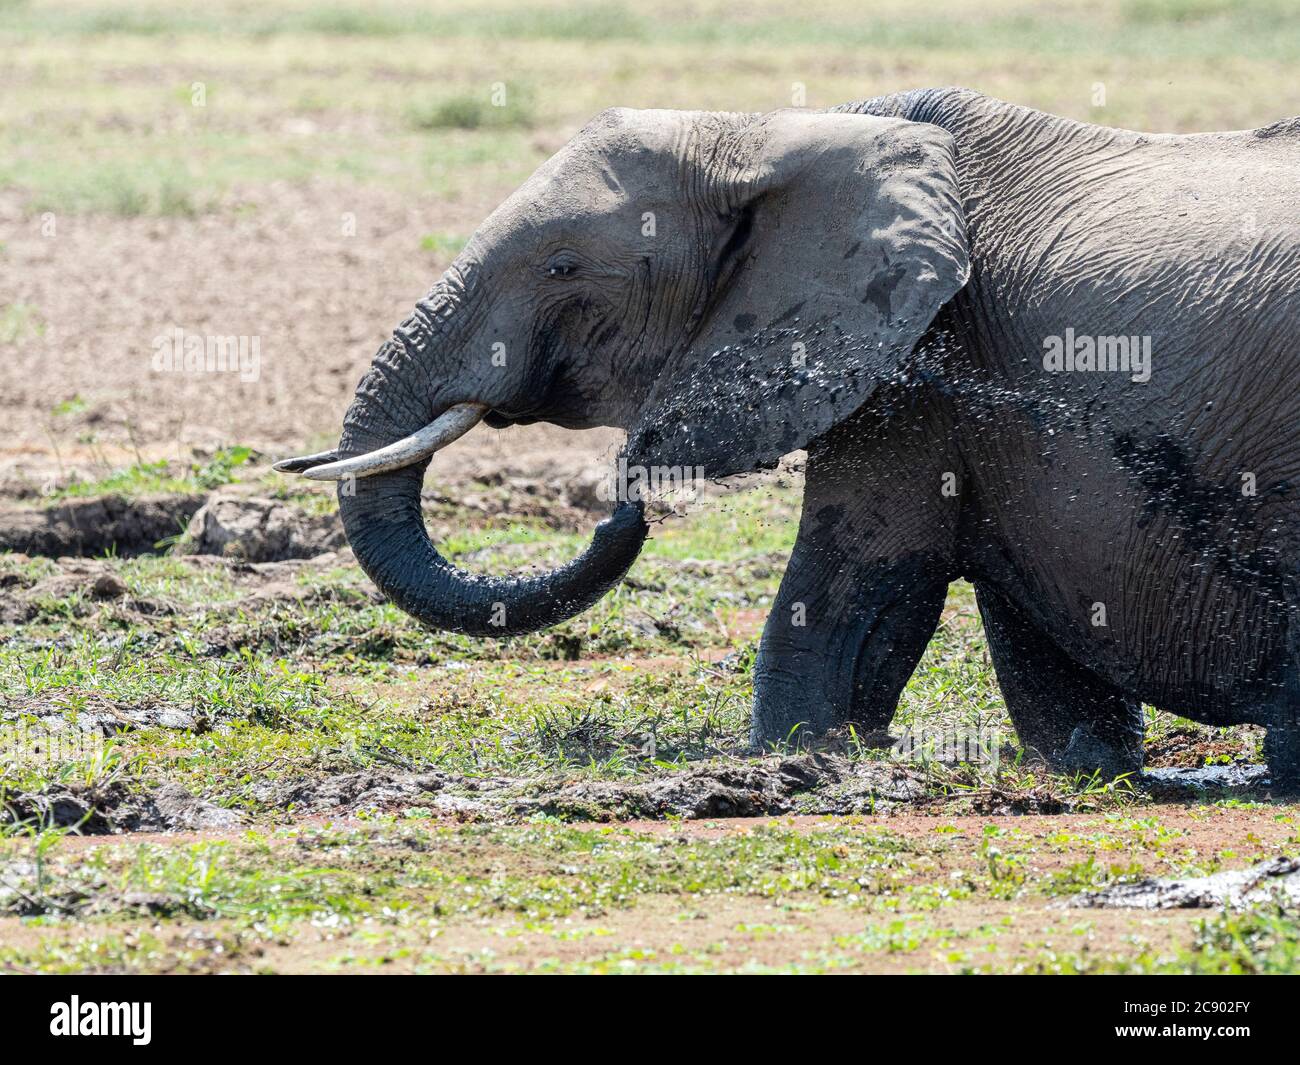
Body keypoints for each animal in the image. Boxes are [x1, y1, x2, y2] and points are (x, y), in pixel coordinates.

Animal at [279, 91, 1300, 785]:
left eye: (564, 267)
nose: (624, 502)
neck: (772, 132)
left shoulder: (912, 357)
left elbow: (850, 583)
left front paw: (795, 763)